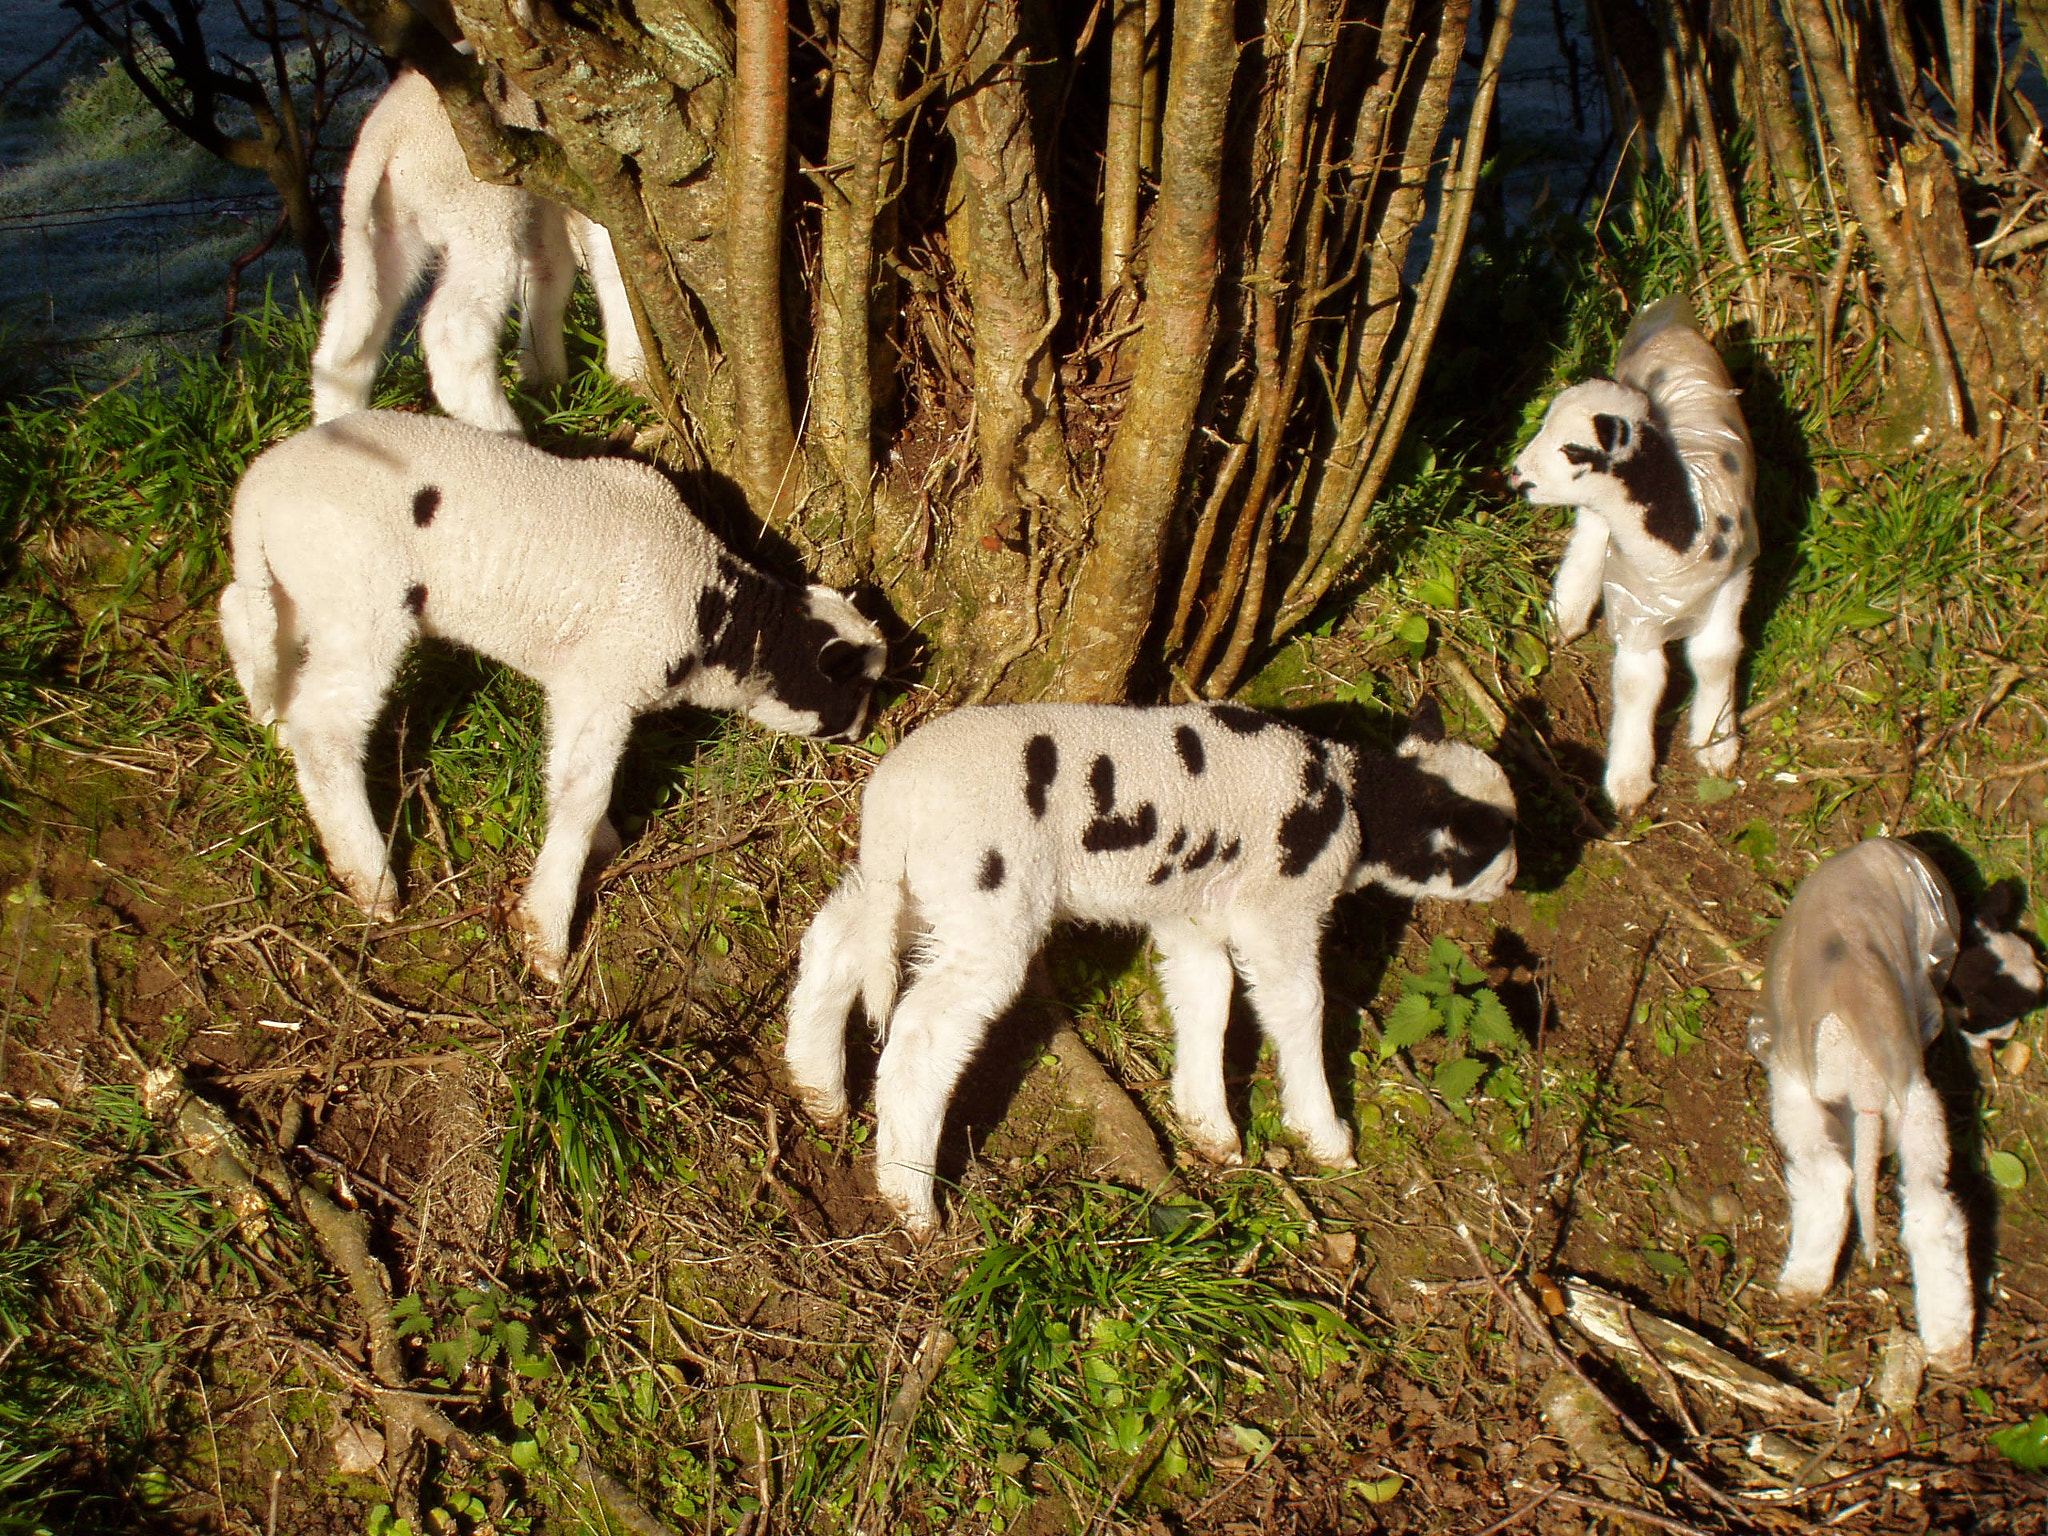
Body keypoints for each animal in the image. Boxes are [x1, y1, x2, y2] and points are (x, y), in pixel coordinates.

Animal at [218, 411, 886, 982]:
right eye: (855, 686)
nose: (862, 734)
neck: (713, 611)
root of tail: (258, 489)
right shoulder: (608, 680)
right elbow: (582, 794)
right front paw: (548, 936)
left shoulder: (579, 688)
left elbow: (569, 778)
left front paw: (602, 846)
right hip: (362, 598)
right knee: (326, 730)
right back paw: (369, 878)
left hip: (303, 586)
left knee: (242, 614)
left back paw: (270, 719)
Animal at [309, 67, 644, 437]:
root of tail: (386, 136)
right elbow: (617, 269)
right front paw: (634, 375)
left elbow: (549, 272)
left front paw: (544, 376)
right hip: (479, 213)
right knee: (455, 332)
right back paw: (503, 431)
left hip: (388, 229)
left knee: (347, 329)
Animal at [784, 698, 1518, 1236]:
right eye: (1494, 842)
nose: (1515, 880)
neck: (1354, 802)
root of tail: (896, 798)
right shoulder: (1280, 907)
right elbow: (1299, 1006)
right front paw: (1326, 1135)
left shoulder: (1191, 912)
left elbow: (1207, 995)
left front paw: (1209, 1124)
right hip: (986, 903)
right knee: (921, 1035)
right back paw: (912, 1199)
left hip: (920, 887)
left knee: (834, 941)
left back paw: (818, 1090)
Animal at [1512, 295, 1757, 812]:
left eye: (1573, 450)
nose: (1515, 476)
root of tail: (1667, 315)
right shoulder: (1635, 607)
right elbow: (1639, 682)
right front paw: (1628, 782)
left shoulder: (1731, 581)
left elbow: (1716, 655)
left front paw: (1717, 742)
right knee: (1589, 537)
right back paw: (1564, 616)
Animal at [1751, 838, 2043, 1369]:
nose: (1999, 1036)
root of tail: (1865, 1077)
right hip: (1919, 1106)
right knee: (1933, 1211)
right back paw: (1949, 1341)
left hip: (1793, 1088)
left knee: (1828, 1175)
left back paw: (1801, 1283)